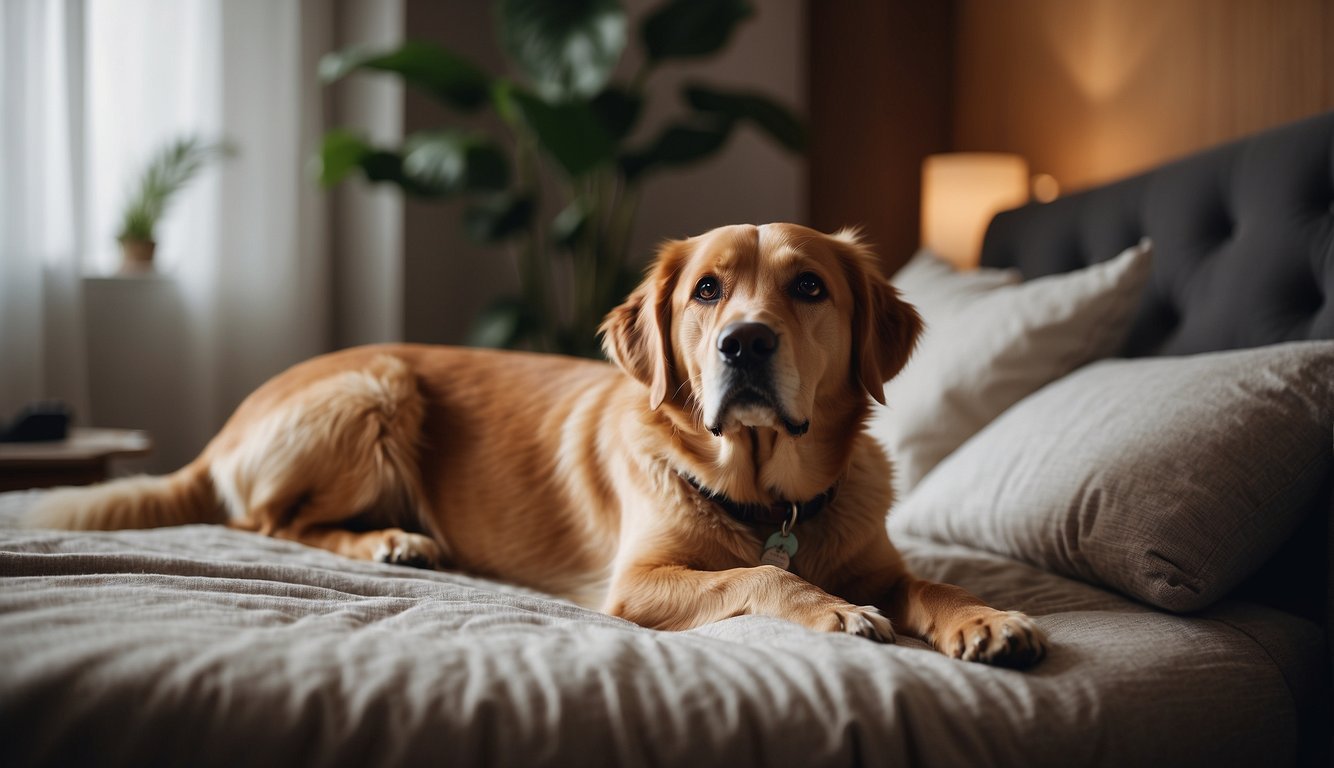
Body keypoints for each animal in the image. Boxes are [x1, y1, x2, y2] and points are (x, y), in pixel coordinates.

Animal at [31, 221, 1045, 666]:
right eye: (707, 290)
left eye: (808, 288)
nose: (744, 345)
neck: (767, 490)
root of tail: (230, 424)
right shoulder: (638, 585)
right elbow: (763, 577)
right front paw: (834, 611)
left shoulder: (876, 556)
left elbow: (928, 582)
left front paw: (986, 617)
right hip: (379, 387)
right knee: (273, 523)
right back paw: (389, 539)